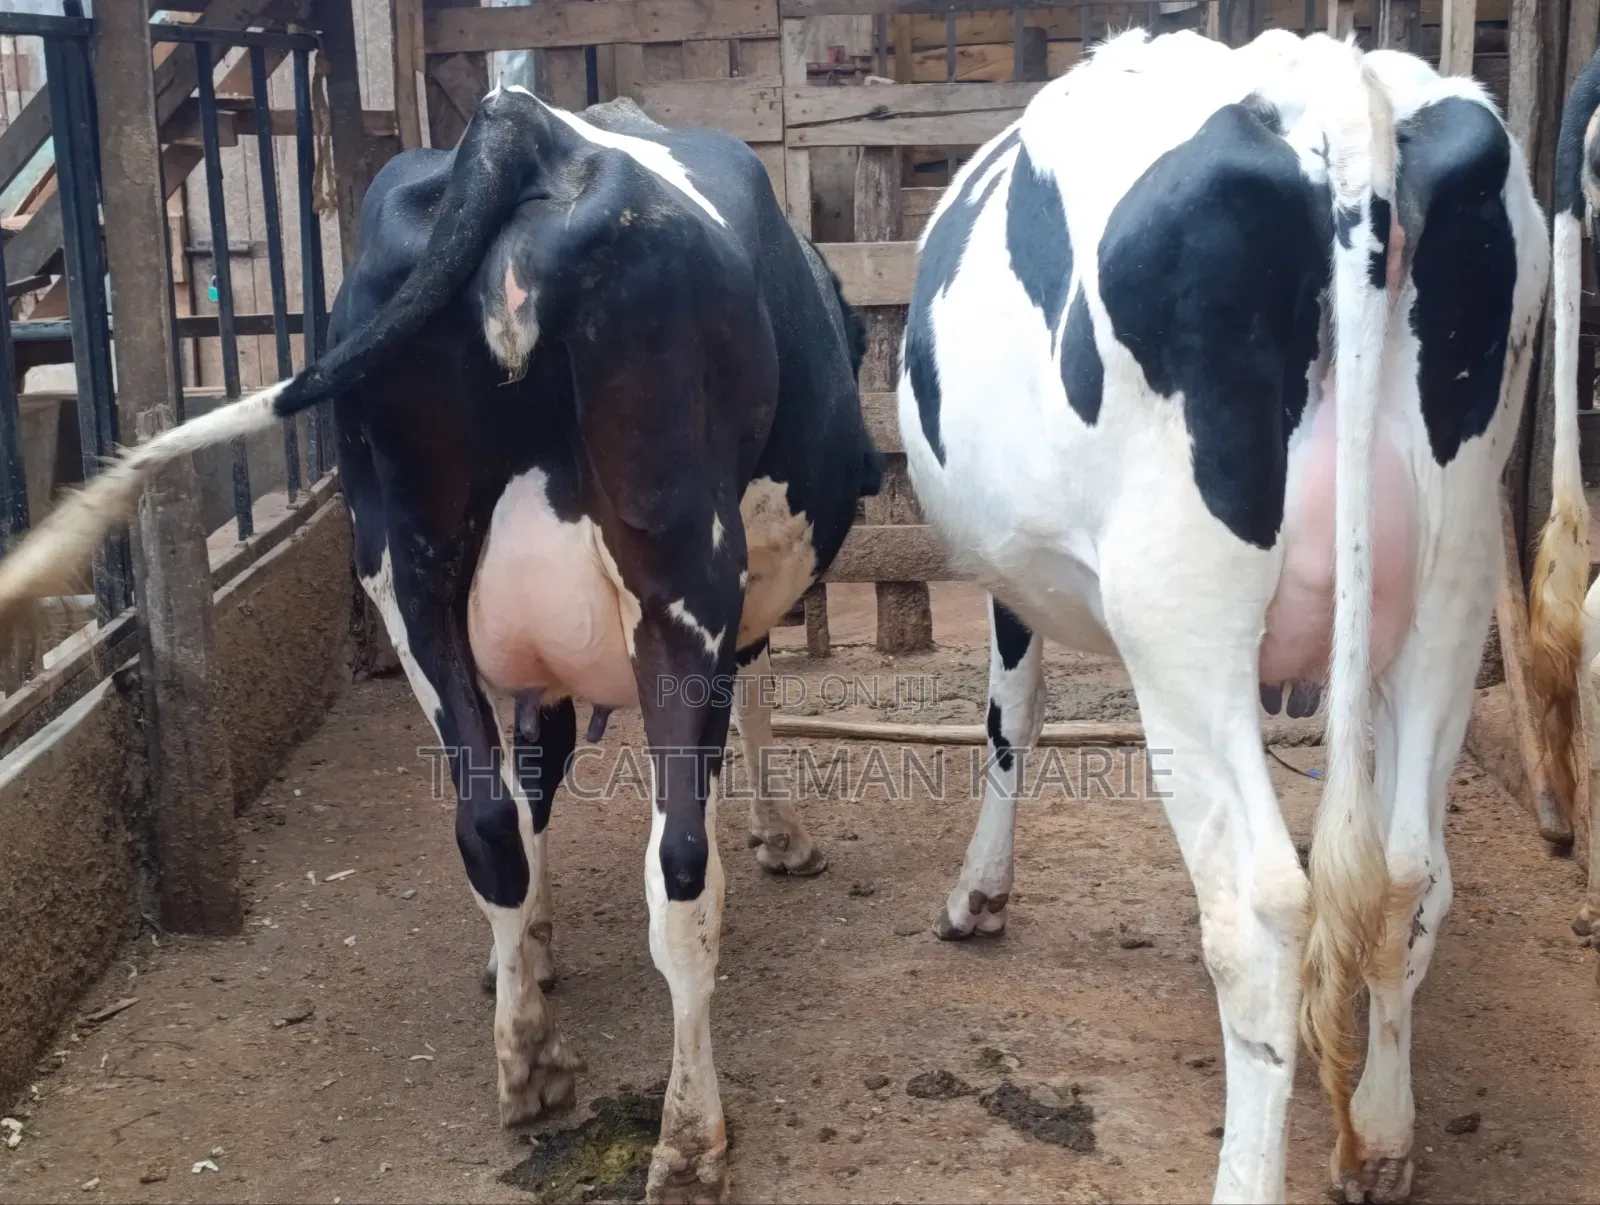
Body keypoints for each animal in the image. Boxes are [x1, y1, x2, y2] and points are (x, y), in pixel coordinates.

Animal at [0, 86, 880, 1204]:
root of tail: (520, 124)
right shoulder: (739, 606)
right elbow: (746, 722)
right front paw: (779, 838)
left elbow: (530, 787)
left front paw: (527, 956)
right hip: (682, 566)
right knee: (676, 868)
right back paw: (689, 1138)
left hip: (406, 571)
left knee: (486, 820)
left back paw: (531, 1064)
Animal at [899, 28, 1551, 1204]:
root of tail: (1330, 86)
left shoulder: (1015, 577)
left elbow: (1009, 713)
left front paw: (978, 894)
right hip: (1455, 578)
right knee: (1405, 866)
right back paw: (1380, 1136)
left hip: (1179, 610)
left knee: (1260, 909)